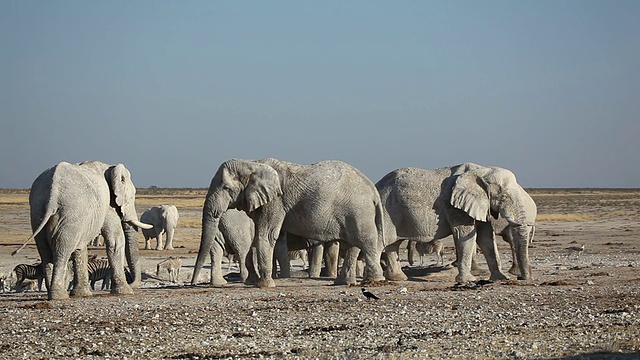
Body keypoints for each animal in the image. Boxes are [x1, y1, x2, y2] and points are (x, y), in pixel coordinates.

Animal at [15, 162, 151, 300]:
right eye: (132, 197)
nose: (132, 283)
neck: (110, 167)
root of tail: (52, 195)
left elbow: (80, 247)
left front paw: (82, 294)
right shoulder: (107, 205)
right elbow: (116, 240)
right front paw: (125, 292)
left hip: (38, 212)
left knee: (45, 251)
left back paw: (52, 293)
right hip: (71, 211)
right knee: (62, 249)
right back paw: (59, 295)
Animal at [190, 158, 384, 286]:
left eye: (226, 188)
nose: (192, 284)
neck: (252, 163)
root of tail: (372, 189)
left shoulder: (276, 201)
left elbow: (266, 236)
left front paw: (264, 285)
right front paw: (255, 282)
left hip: (358, 211)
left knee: (365, 240)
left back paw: (374, 280)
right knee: (351, 243)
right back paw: (343, 282)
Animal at [378, 163, 536, 284]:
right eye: (504, 197)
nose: (522, 279)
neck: (481, 170)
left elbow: (485, 238)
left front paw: (500, 278)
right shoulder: (455, 206)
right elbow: (465, 235)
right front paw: (468, 280)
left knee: (392, 244)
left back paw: (398, 278)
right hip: (384, 209)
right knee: (382, 241)